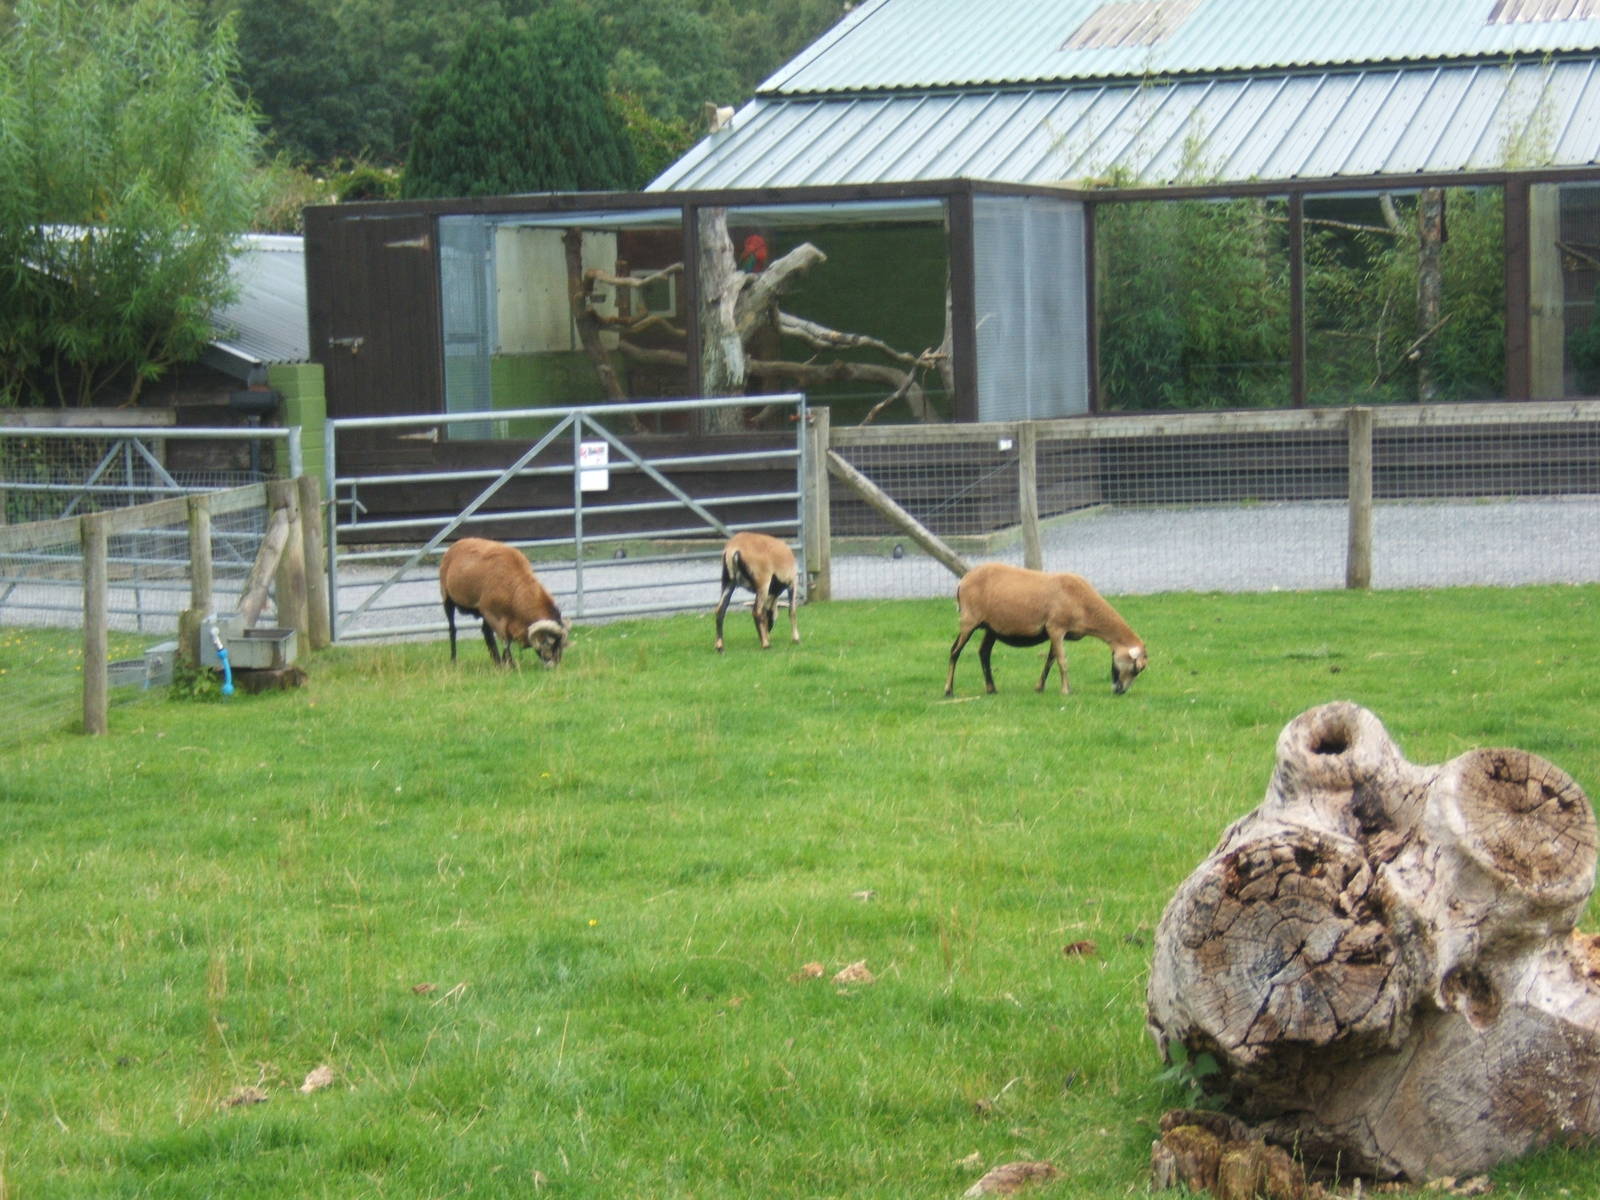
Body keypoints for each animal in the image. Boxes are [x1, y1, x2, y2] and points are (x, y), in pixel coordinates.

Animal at [439, 537, 570, 669]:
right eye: (550, 643)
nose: (554, 666)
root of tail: (457, 543)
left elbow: (504, 639)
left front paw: (505, 662)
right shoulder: (491, 614)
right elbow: (505, 640)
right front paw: (509, 664)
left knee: (486, 633)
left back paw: (496, 661)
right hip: (447, 598)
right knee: (453, 630)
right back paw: (454, 660)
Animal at [943, 562, 1147, 697]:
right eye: (1136, 669)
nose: (1120, 691)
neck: (1084, 605)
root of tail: (963, 581)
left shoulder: (1057, 633)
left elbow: (1050, 660)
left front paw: (1039, 688)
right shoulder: (1056, 627)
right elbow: (1062, 661)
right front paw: (1066, 690)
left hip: (991, 627)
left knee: (984, 652)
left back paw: (991, 689)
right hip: (969, 620)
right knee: (954, 651)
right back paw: (948, 690)